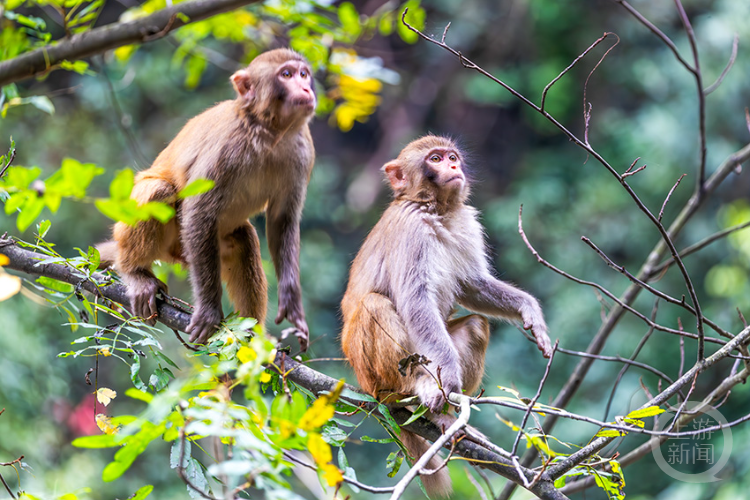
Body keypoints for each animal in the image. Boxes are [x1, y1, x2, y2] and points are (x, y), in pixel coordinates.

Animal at [97, 49, 318, 348]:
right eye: (286, 75)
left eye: (303, 74)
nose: (306, 88)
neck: (268, 133)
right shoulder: (226, 149)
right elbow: (198, 213)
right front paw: (210, 311)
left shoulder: (302, 151)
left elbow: (282, 221)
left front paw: (292, 305)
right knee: (159, 191)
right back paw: (135, 272)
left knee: (242, 239)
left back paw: (252, 334)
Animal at [342, 135, 552, 498]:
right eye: (436, 159)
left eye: (452, 157)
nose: (453, 166)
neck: (436, 208)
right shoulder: (411, 229)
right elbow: (416, 301)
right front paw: (450, 381)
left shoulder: (466, 224)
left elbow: (472, 287)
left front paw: (530, 311)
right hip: (375, 375)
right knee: (374, 304)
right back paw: (415, 398)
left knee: (477, 325)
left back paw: (446, 416)